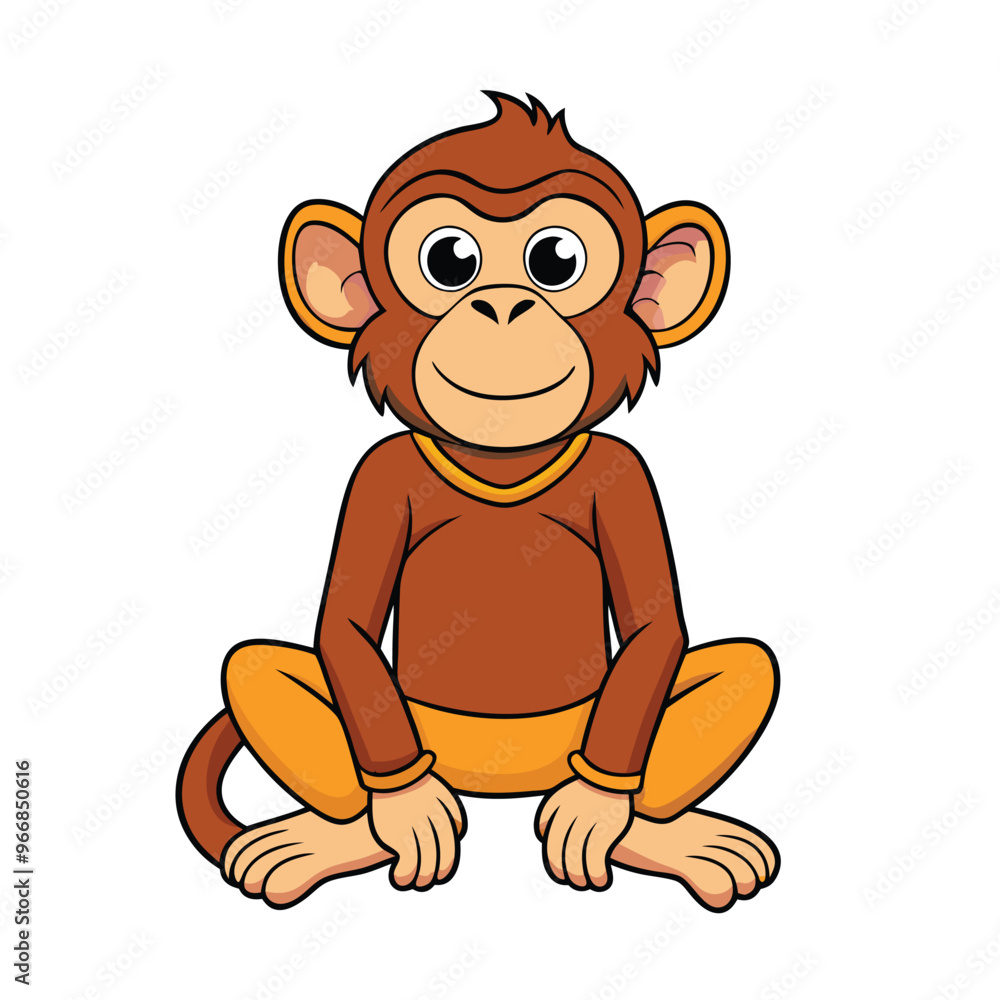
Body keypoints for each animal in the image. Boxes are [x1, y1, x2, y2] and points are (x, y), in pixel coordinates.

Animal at [176, 93, 780, 911]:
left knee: (747, 667)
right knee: (254, 667)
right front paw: (405, 811)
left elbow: (658, 625)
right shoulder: (375, 478)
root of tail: (500, 778)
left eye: (556, 260)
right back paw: (326, 840)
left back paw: (668, 838)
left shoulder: (628, 477)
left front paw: (597, 812)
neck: (498, 458)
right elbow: (344, 625)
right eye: (449, 261)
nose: (501, 306)